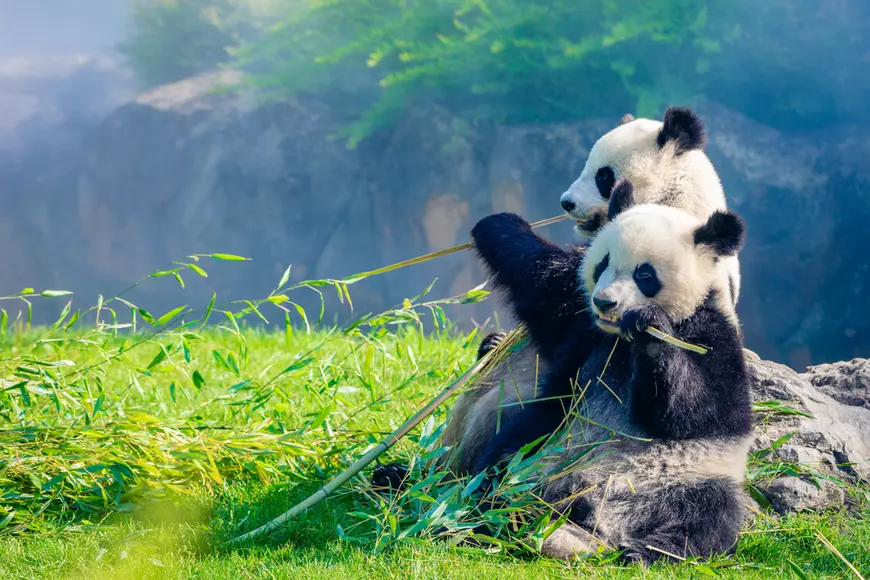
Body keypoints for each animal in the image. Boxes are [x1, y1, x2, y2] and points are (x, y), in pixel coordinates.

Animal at [457, 197, 752, 563]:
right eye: (603, 263)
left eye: (644, 274)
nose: (604, 302)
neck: (619, 340)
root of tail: (595, 517)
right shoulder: (584, 332)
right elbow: (545, 288)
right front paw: (498, 224)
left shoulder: (712, 335)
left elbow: (698, 412)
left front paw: (650, 332)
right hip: (542, 452)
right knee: (504, 463)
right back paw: (489, 512)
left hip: (688, 477)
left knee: (710, 514)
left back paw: (645, 551)